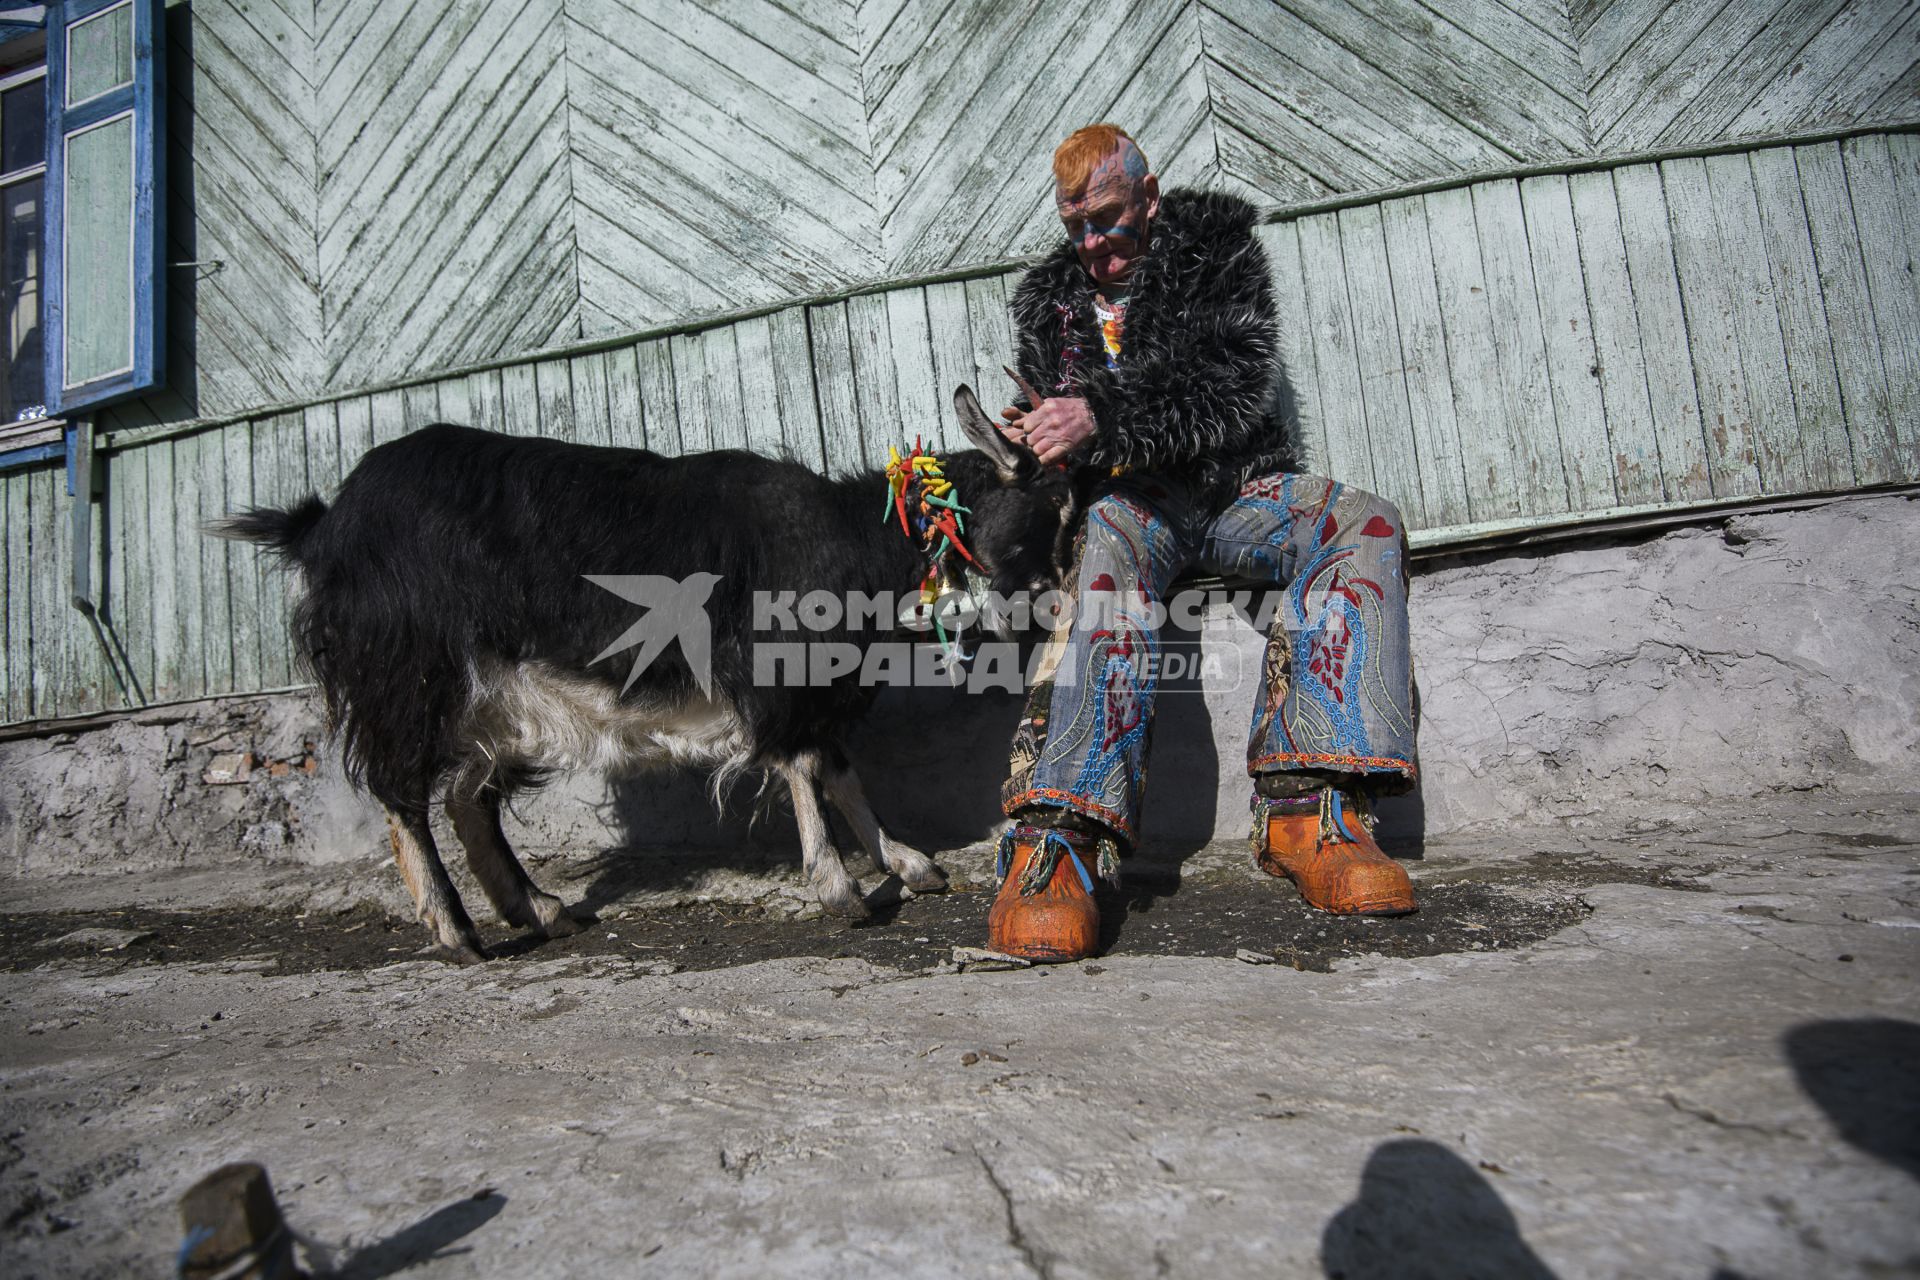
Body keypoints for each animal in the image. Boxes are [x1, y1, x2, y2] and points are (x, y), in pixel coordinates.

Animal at [220, 387, 1082, 959]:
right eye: (1042, 517)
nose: (1053, 613)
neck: (853, 542)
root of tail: (322, 524)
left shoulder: (812, 689)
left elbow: (842, 771)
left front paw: (908, 862)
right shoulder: (776, 674)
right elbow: (805, 766)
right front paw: (839, 887)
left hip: (499, 702)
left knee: (469, 799)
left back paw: (540, 909)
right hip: (405, 672)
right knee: (402, 794)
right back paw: (456, 930)